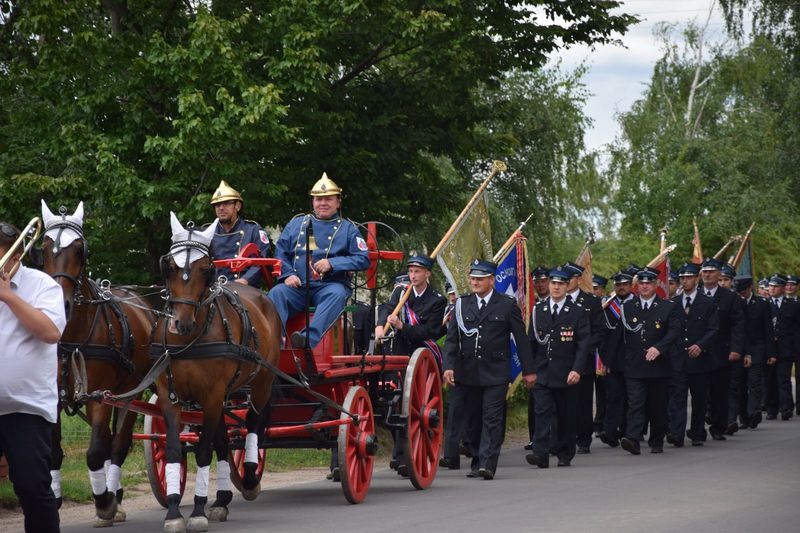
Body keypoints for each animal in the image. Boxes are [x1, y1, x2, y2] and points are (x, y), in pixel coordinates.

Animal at [41, 201, 158, 528]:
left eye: (80, 249)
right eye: (43, 248)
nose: (61, 304)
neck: (71, 339)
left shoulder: (99, 395)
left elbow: (95, 452)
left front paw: (104, 502)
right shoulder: (54, 397)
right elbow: (55, 453)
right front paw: (55, 501)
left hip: (130, 394)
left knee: (117, 444)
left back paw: (112, 497)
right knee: (108, 440)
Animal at [150, 213, 282, 532]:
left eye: (205, 269)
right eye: (170, 267)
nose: (181, 324)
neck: (188, 341)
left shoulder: (210, 396)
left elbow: (202, 450)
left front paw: (197, 511)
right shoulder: (170, 396)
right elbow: (175, 450)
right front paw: (174, 512)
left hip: (260, 383)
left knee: (253, 425)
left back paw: (249, 477)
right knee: (224, 440)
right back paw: (221, 499)